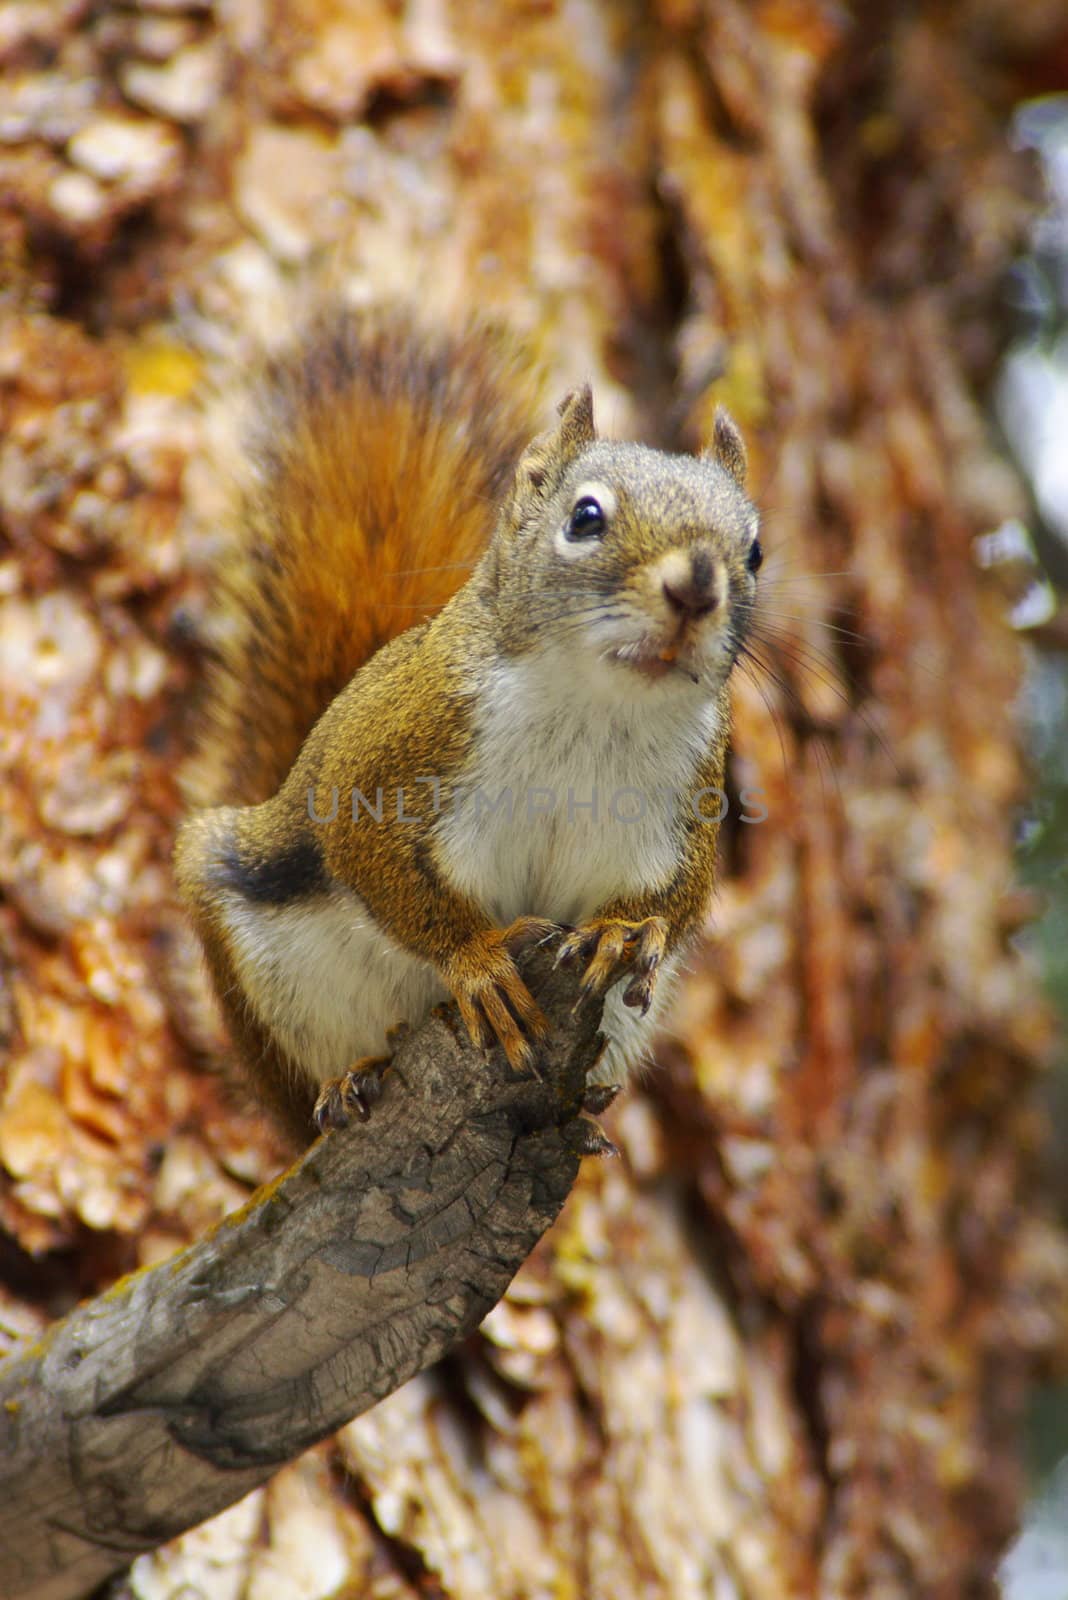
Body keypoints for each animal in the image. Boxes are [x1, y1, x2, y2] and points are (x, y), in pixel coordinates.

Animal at [175, 302, 757, 1152]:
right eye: (585, 517)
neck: (597, 702)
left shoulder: (690, 798)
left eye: (755, 549)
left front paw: (623, 931)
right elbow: (374, 861)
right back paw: (346, 1085)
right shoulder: (389, 754)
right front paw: (476, 960)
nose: (698, 586)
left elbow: (679, 895)